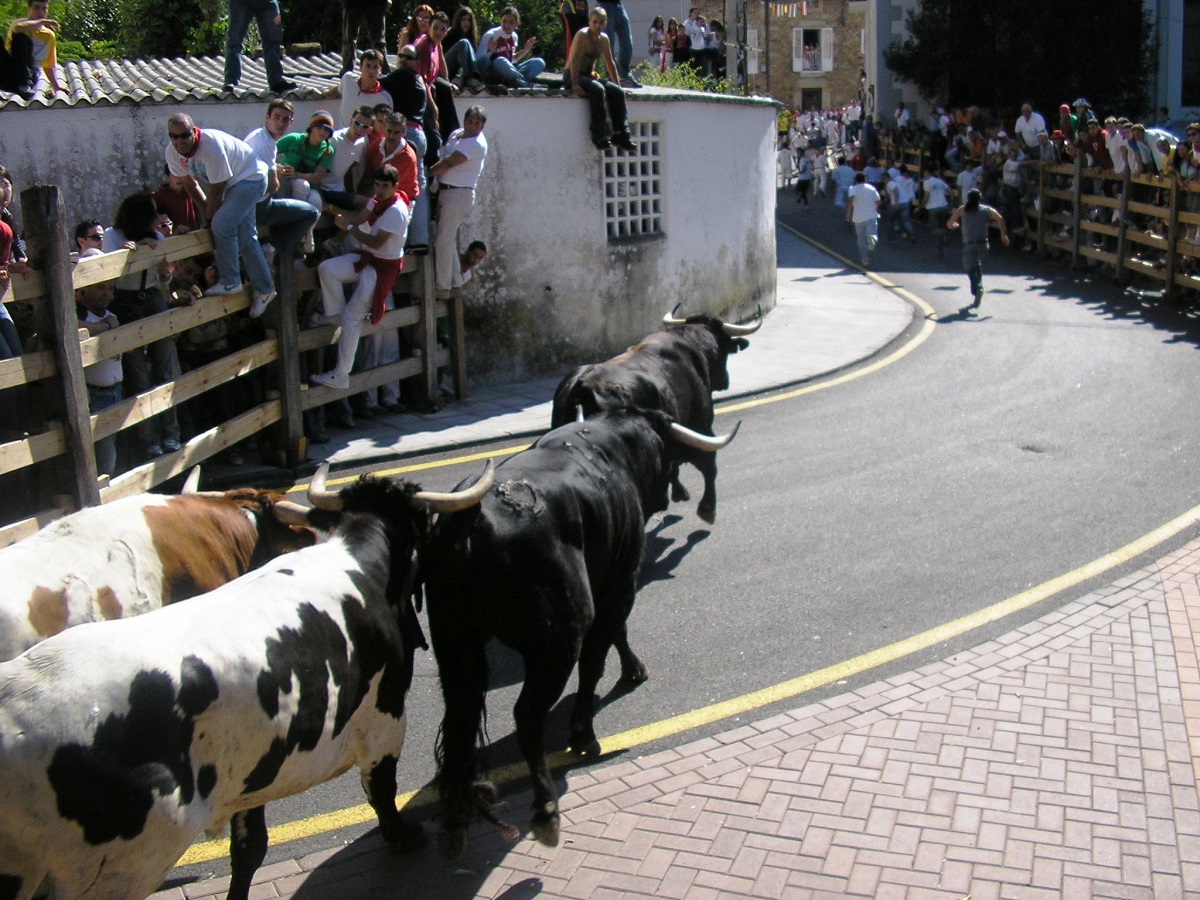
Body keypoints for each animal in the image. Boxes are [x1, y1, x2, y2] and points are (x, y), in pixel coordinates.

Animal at [422, 408, 739, 859]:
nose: (666, 499)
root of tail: (473, 516)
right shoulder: (620, 580)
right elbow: (597, 658)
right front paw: (584, 732)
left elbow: (616, 636)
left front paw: (634, 668)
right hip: (558, 637)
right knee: (527, 714)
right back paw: (546, 812)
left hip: (454, 643)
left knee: (458, 716)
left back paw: (454, 821)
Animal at [549, 309, 758, 525]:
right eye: (725, 352)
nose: (725, 382)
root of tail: (582, 383)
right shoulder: (700, 425)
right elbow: (708, 464)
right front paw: (707, 508)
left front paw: (679, 492)